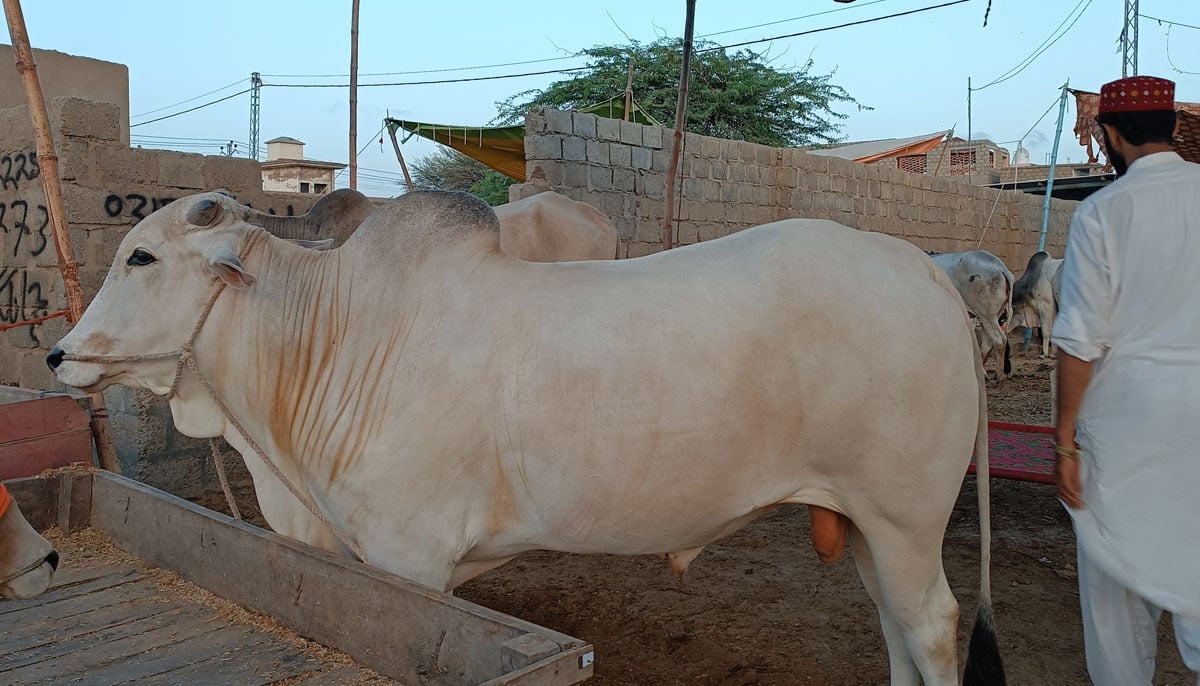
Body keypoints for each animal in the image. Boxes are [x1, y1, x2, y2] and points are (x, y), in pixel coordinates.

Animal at [46, 190, 1003, 681]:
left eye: (141, 257)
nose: (58, 354)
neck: (339, 332)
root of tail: (921, 270)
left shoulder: (412, 560)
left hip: (907, 518)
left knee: (931, 626)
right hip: (871, 525)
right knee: (893, 627)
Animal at [926, 251, 1012, 381]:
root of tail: (1000, 267)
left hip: (986, 314)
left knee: (1000, 340)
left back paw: (998, 377)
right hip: (989, 317)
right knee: (987, 345)